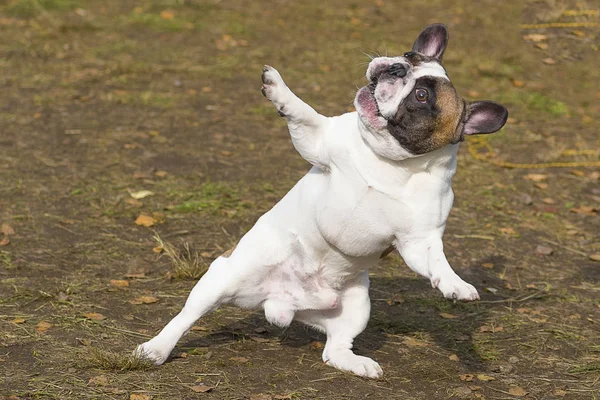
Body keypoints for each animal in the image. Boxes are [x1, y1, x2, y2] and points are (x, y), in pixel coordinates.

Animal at [136, 23, 506, 376]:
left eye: (421, 94)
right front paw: (278, 88)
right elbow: (303, 111)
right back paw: (156, 348)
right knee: (186, 316)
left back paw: (357, 364)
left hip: (357, 306)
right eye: (408, 55)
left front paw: (456, 285)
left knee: (334, 350)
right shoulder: (318, 140)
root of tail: (280, 304)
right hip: (223, 277)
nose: (395, 67)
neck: (388, 162)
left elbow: (437, 261)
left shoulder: (419, 241)